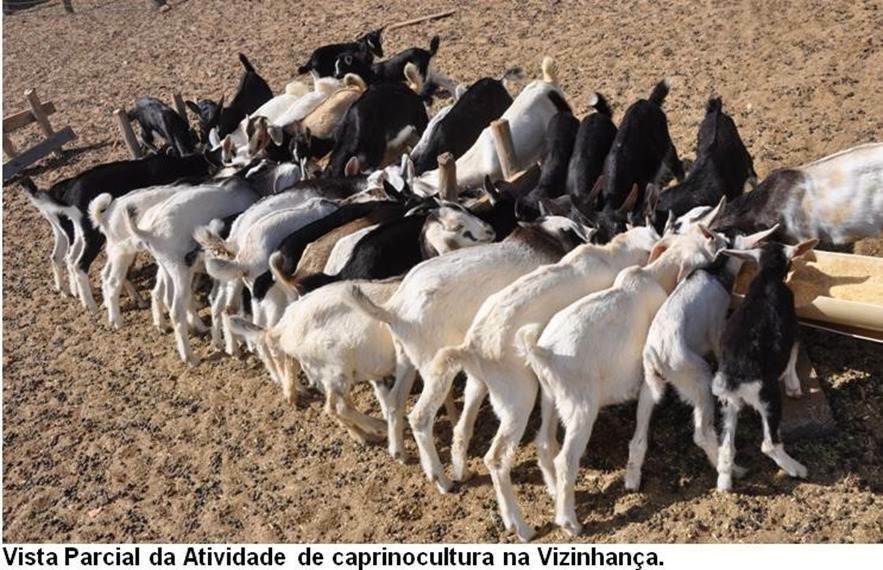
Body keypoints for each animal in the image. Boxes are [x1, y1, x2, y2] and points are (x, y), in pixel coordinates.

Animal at [342, 215, 592, 482]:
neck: (545, 238)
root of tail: (394, 309)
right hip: (433, 368)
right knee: (420, 417)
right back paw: (439, 477)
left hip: (406, 359)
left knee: (394, 401)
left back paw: (399, 452)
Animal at [516, 223, 724, 536]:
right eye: (706, 244)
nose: (717, 236)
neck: (653, 274)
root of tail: (543, 353)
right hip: (581, 405)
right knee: (565, 460)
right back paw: (569, 522)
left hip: (550, 396)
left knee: (543, 442)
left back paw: (553, 491)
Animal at [716, 237, 820, 490]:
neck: (768, 278)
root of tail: (734, 377)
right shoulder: (793, 327)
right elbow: (793, 355)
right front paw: (794, 386)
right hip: (768, 398)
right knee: (769, 444)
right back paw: (797, 469)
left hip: (728, 403)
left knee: (726, 446)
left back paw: (724, 483)